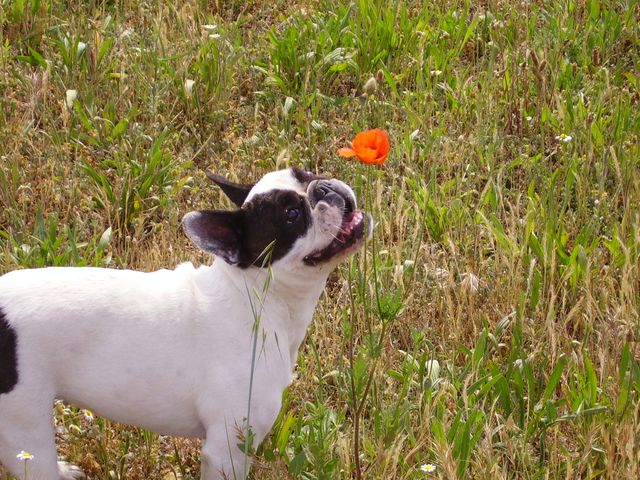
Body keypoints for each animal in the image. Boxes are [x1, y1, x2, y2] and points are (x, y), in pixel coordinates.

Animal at [0, 168, 370, 480]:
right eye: (291, 215)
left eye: (306, 173)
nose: (322, 187)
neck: (257, 297)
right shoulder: (226, 449)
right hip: (24, 429)